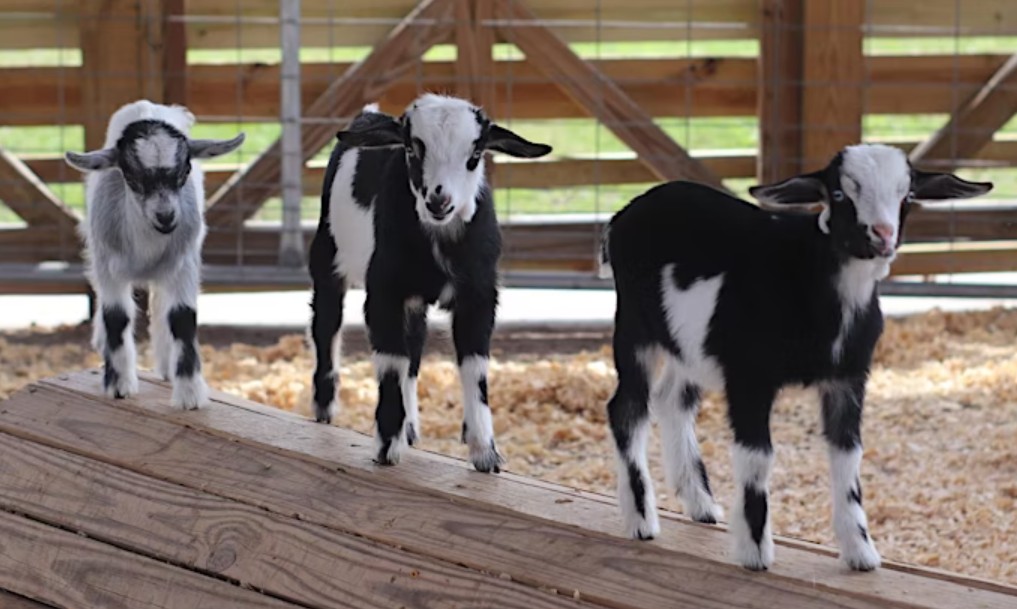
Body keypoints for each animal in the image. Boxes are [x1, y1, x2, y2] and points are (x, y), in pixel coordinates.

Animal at [65, 100, 245, 409]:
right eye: (130, 175)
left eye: (185, 170)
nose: (166, 216)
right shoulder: (108, 264)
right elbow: (116, 315)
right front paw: (119, 385)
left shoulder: (184, 263)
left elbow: (182, 317)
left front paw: (189, 394)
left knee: (161, 306)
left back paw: (166, 365)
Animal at [308, 94, 552, 471]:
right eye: (411, 148)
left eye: (475, 153)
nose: (439, 200)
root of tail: (369, 114)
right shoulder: (384, 292)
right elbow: (391, 361)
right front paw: (387, 446)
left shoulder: (479, 295)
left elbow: (473, 366)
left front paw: (485, 453)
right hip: (327, 251)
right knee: (326, 322)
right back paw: (324, 408)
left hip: (414, 299)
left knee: (414, 344)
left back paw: (410, 427)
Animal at [600, 144, 992, 571]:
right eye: (839, 193)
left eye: (907, 195)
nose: (882, 235)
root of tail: (621, 217)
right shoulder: (749, 376)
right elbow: (758, 457)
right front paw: (755, 551)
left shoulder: (848, 379)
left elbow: (848, 456)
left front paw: (861, 552)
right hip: (635, 327)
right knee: (628, 408)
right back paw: (642, 519)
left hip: (688, 345)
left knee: (673, 401)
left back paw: (700, 503)